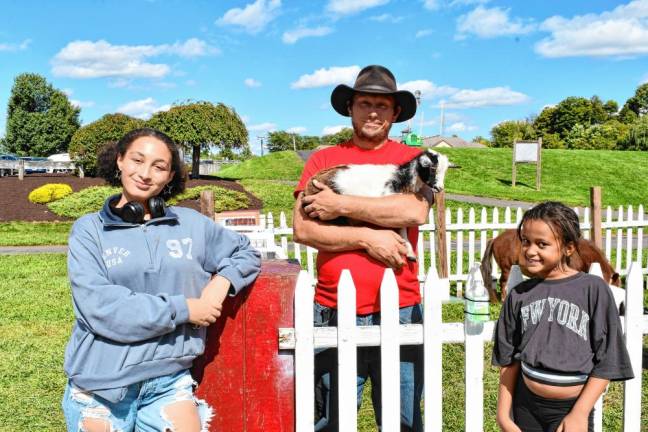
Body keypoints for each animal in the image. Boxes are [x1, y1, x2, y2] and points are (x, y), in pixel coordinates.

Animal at [306, 150, 450, 262]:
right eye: (432, 169)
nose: (439, 188)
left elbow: (403, 229)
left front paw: (410, 253)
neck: (402, 178)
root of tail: (307, 187)